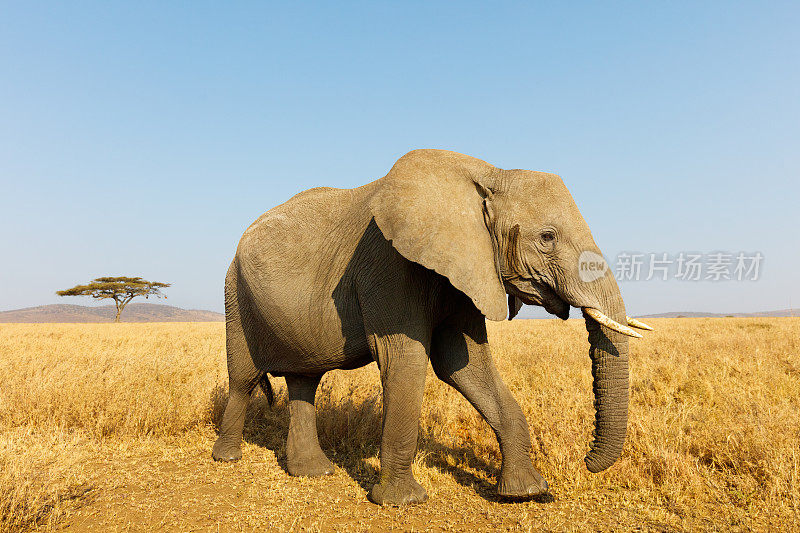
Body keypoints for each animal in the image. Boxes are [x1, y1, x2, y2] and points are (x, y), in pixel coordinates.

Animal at [212, 149, 648, 502]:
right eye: (547, 237)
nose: (587, 461)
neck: (488, 174)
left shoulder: (467, 272)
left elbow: (464, 364)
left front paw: (525, 493)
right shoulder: (389, 265)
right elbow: (406, 360)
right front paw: (401, 502)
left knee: (305, 380)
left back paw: (313, 473)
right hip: (235, 292)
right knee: (244, 378)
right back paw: (228, 458)